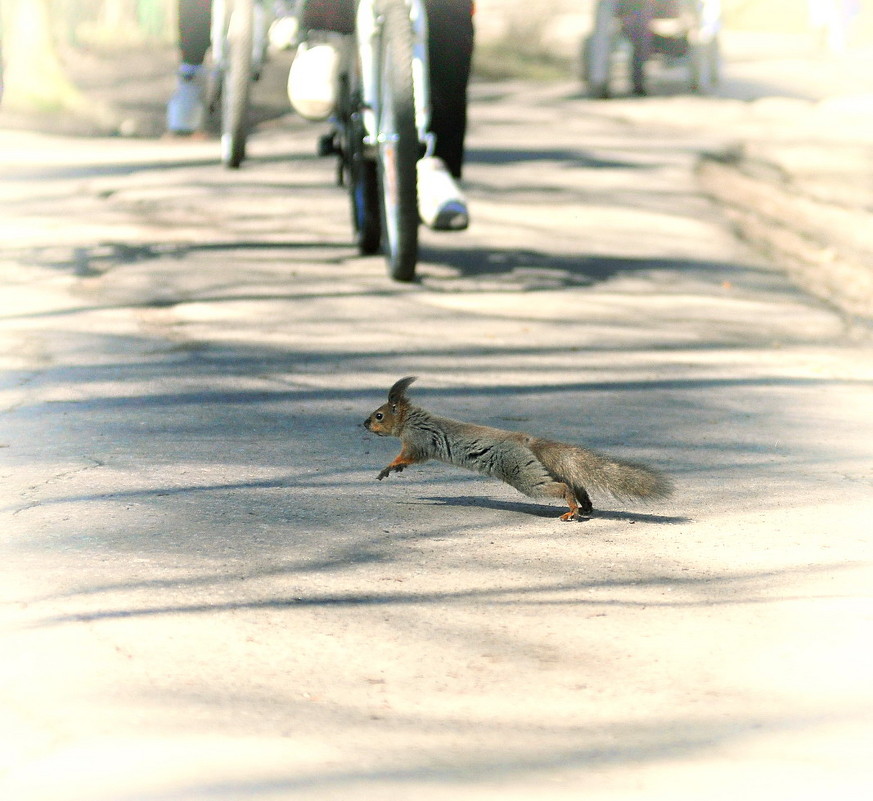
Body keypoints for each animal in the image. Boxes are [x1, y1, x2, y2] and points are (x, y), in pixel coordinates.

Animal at [362, 378, 676, 520]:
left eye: (379, 415)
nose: (363, 424)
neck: (411, 420)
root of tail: (526, 441)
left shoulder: (418, 441)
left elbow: (408, 456)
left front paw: (388, 468)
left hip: (521, 472)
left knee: (561, 486)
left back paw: (571, 510)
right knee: (574, 482)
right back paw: (584, 506)